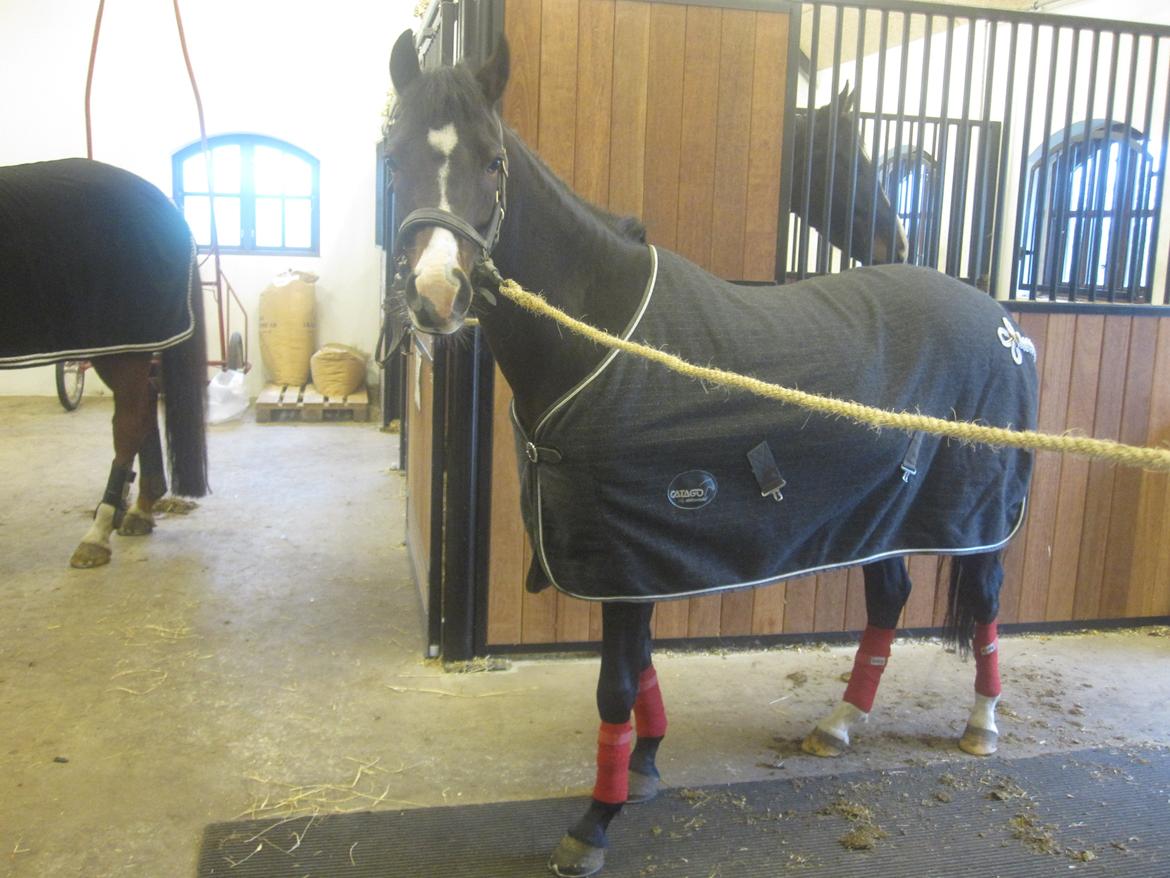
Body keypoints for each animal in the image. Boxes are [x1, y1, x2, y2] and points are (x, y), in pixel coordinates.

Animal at [0, 158, 209, 568]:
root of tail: (165, 206)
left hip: (121, 345)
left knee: (129, 422)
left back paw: (98, 533)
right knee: (143, 405)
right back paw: (139, 511)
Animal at [386, 31, 1037, 878]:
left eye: (493, 162)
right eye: (392, 158)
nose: (437, 296)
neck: (604, 336)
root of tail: (1002, 321)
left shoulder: (625, 556)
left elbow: (616, 683)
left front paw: (595, 822)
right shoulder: (628, 553)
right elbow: (642, 667)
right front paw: (645, 766)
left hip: (977, 518)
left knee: (986, 603)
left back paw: (982, 724)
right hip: (885, 514)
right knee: (889, 600)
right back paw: (838, 724)